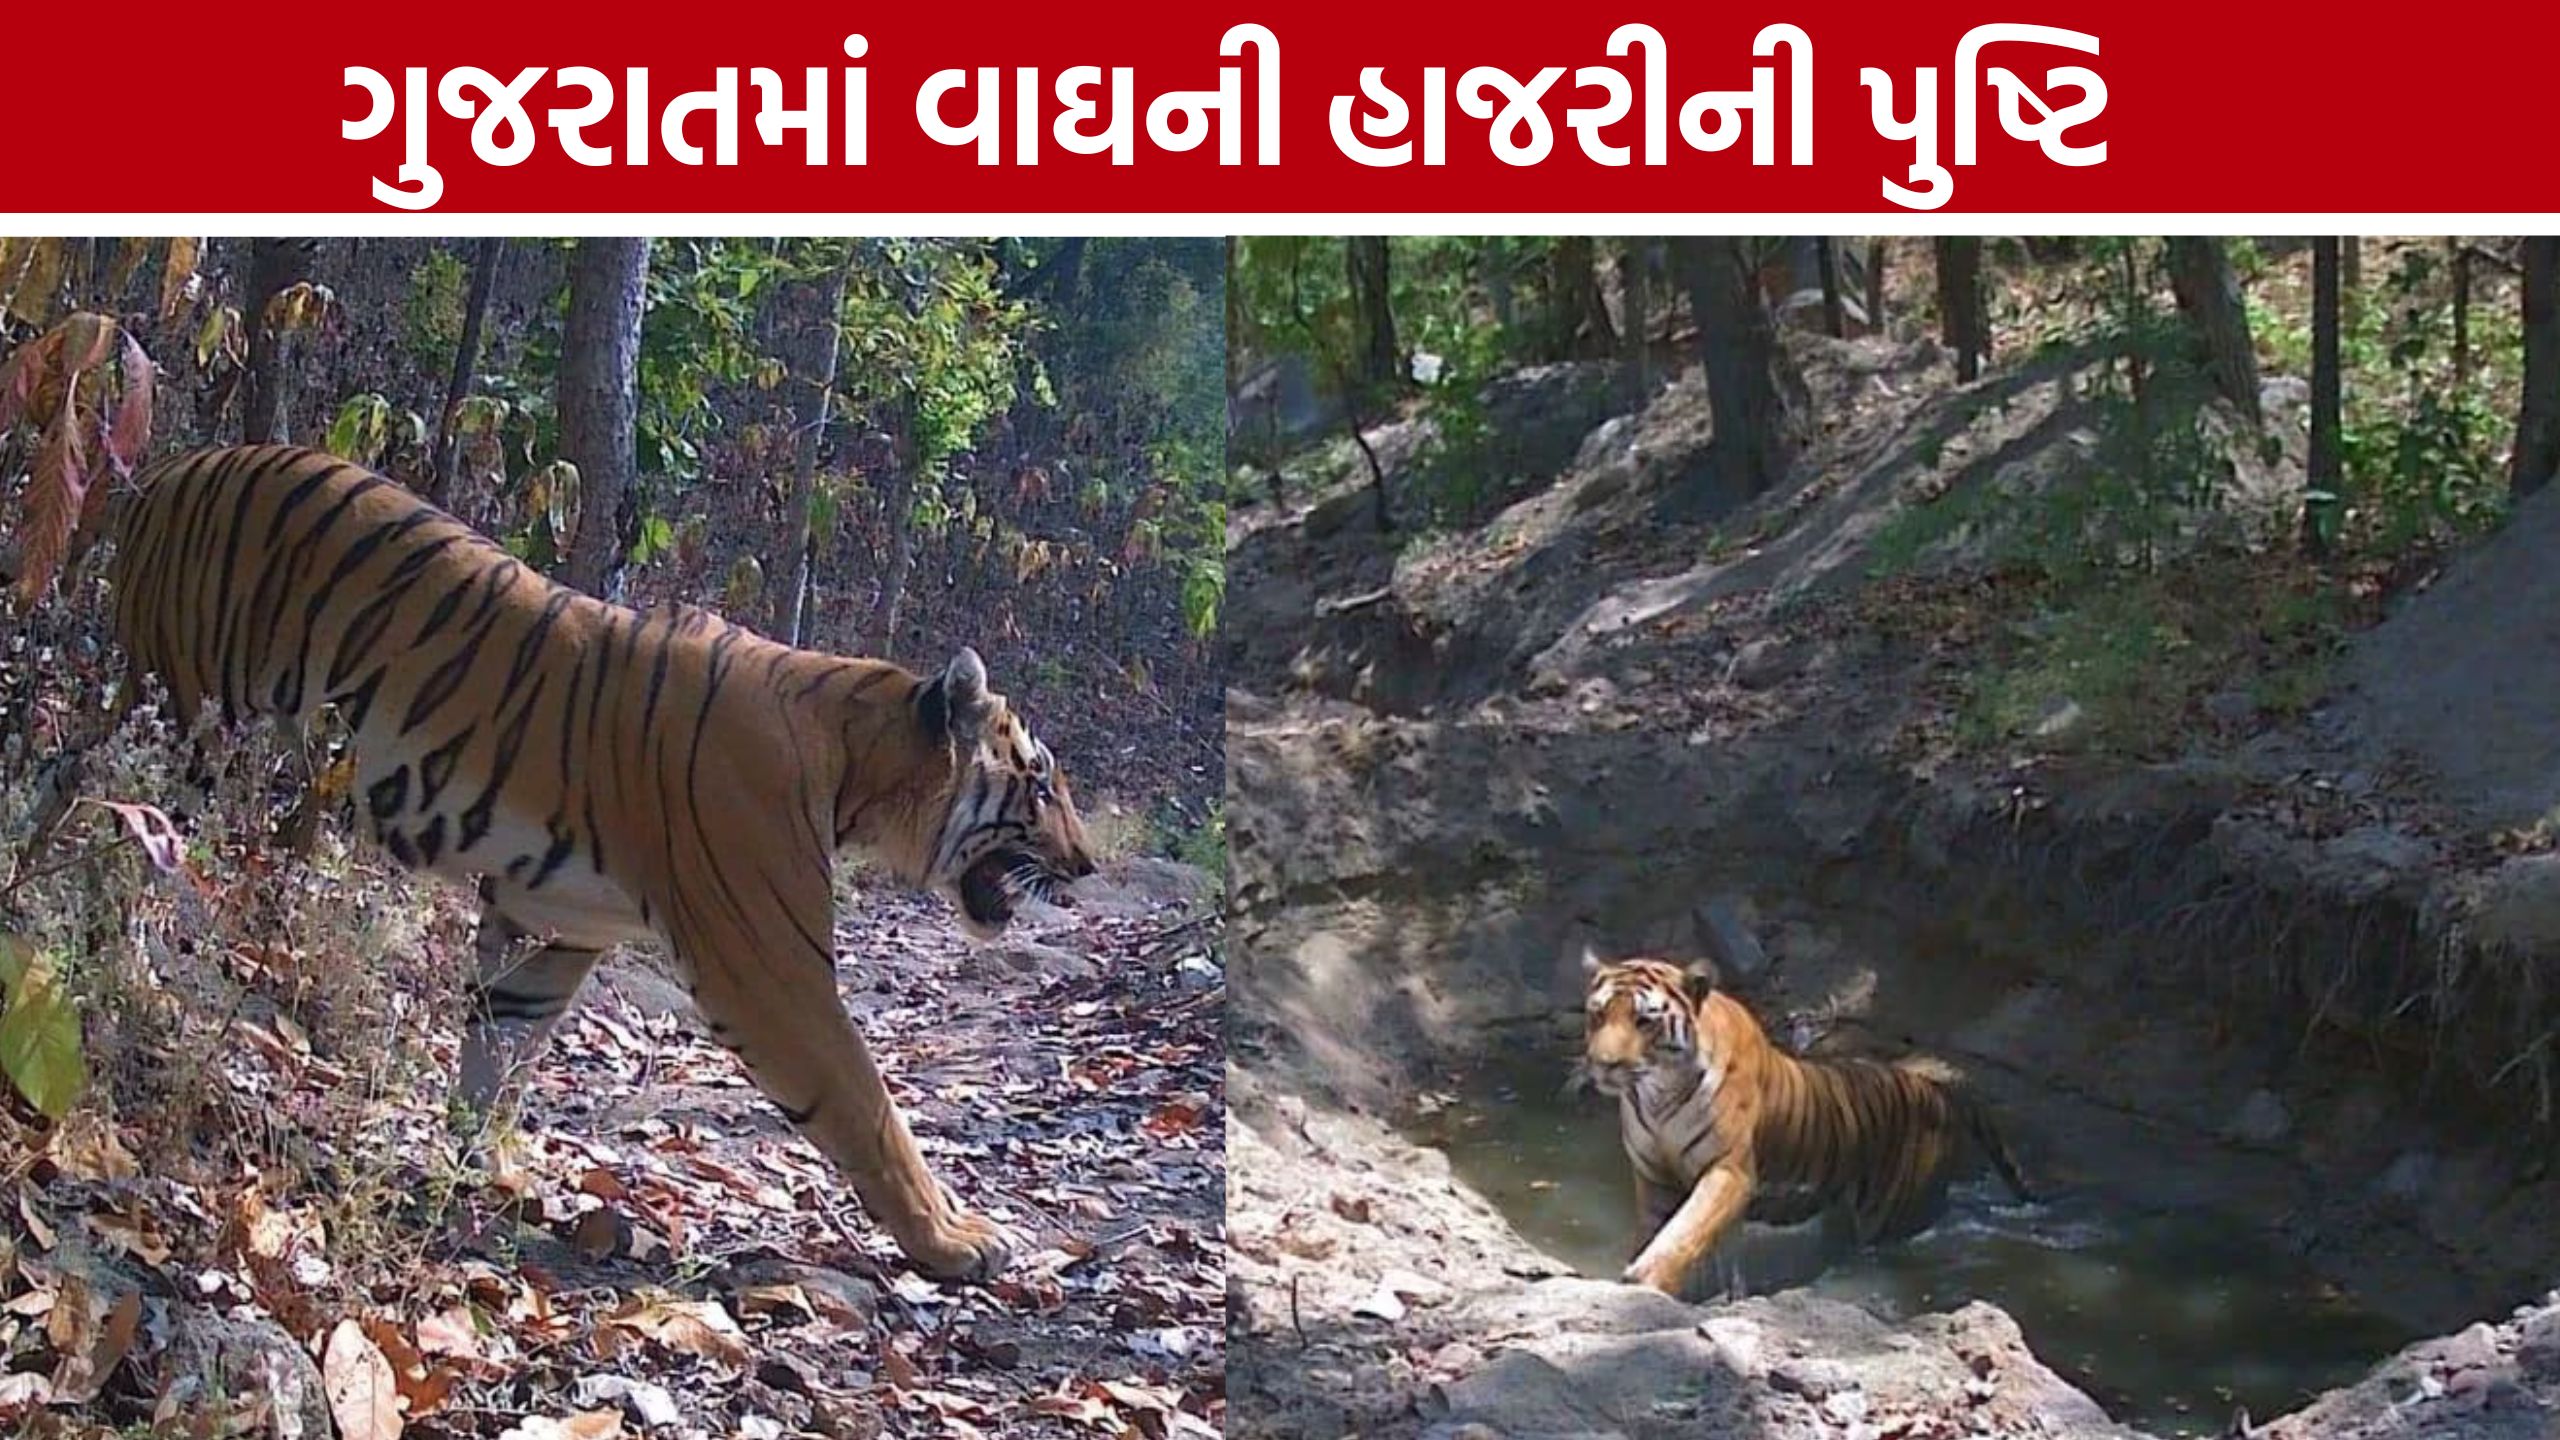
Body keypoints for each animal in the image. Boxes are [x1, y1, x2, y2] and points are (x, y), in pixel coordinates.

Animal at [89, 443, 1099, 1283]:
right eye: (1043, 781)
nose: (1088, 864)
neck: (853, 763)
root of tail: (170, 472)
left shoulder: (554, 919)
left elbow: (499, 1047)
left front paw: (486, 1165)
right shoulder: (773, 973)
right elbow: (870, 1108)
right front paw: (955, 1241)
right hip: (188, 722)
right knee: (120, 835)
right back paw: (130, 979)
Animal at [1576, 948, 2033, 1298]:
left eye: (1644, 1020)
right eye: (1597, 1015)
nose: (1603, 1064)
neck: (1658, 1096)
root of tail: (1927, 1083)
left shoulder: (1729, 1170)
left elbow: (1685, 1231)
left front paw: (1645, 1280)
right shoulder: (1654, 1175)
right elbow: (1659, 1231)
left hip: (1896, 1216)